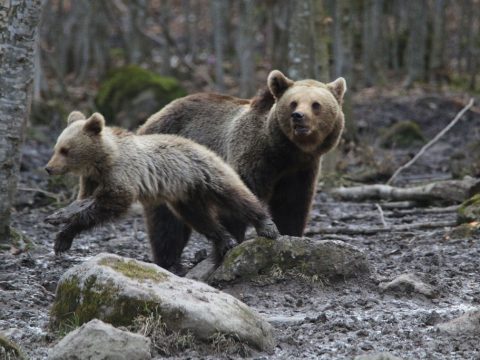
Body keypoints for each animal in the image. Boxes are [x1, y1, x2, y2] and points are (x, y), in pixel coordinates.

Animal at [137, 69, 346, 268]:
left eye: (316, 104)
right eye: (293, 103)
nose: (298, 117)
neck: (285, 152)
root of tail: (150, 119)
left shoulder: (300, 170)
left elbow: (292, 204)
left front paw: (291, 236)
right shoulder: (253, 154)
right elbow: (239, 194)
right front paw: (229, 249)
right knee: (166, 221)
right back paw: (170, 261)